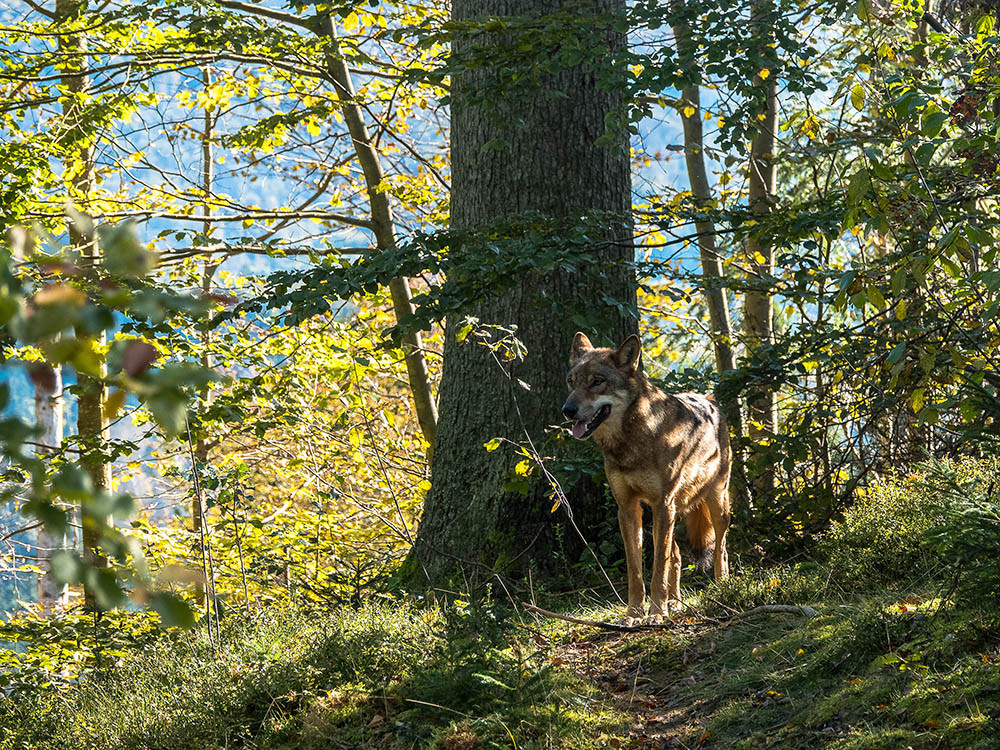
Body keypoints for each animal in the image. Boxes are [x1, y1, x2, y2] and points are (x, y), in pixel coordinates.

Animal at [564, 334, 736, 624]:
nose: (567, 410)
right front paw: (634, 614)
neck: (631, 441)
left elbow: (657, 567)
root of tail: (710, 399)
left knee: (719, 549)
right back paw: (675, 603)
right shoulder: (628, 509)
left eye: (597, 381)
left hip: (713, 504)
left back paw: (720, 589)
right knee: (676, 555)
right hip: (672, 512)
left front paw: (656, 612)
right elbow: (636, 570)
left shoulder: (661, 504)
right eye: (571, 382)